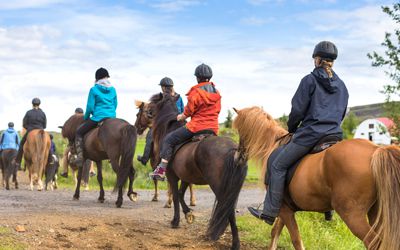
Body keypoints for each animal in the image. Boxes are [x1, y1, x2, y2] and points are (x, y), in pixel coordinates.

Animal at [148, 93, 247, 249]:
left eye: (153, 102)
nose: (148, 112)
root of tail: (233, 151)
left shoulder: (172, 176)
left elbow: (175, 196)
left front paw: (175, 221)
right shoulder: (186, 177)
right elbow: (180, 194)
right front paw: (188, 213)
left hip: (219, 187)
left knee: (229, 210)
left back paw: (235, 243)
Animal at [231, 106, 400, 250]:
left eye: (240, 131)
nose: (237, 157)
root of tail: (376, 151)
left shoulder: (284, 209)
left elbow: (296, 240)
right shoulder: (285, 208)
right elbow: (275, 232)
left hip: (352, 214)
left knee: (373, 243)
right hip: (377, 212)